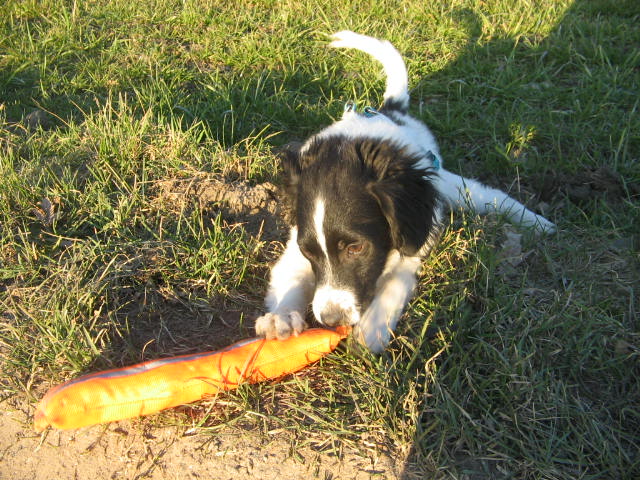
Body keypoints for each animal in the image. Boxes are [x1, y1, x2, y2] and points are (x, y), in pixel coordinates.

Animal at [252, 31, 552, 352]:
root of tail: (387, 112)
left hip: (442, 184)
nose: (332, 320)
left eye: (356, 248)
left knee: (485, 194)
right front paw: (281, 317)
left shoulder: (416, 233)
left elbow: (396, 282)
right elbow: (290, 275)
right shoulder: (296, 243)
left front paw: (371, 329)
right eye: (309, 251)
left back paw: (538, 223)